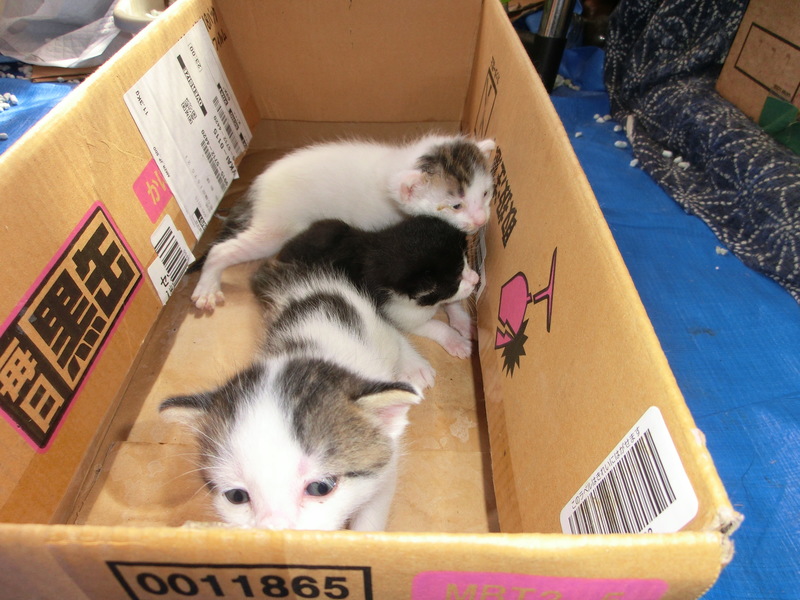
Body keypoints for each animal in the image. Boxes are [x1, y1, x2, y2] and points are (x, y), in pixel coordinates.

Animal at [160, 260, 432, 531]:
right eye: (236, 496)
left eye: (320, 488)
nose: (274, 528)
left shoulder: (387, 465)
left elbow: (372, 513)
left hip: (376, 328)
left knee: (394, 334)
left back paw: (415, 366)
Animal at [190, 133, 495, 311]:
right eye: (456, 205)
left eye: (485, 194)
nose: (481, 219)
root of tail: (258, 185)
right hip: (275, 228)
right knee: (222, 249)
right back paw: (207, 287)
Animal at [276, 215, 479, 358]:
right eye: (455, 281)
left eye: (466, 261)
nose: (477, 279)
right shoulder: (396, 314)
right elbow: (435, 325)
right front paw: (456, 341)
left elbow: (451, 303)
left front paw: (466, 323)